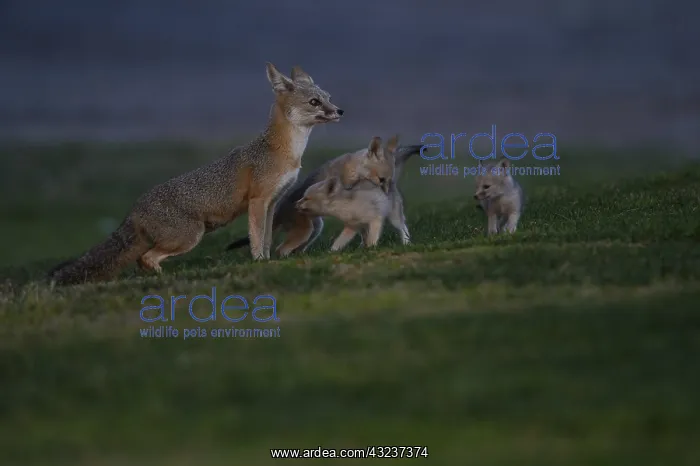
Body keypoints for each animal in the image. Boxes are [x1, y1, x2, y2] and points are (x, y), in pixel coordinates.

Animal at [47, 62, 343, 286]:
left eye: (328, 97)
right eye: (315, 102)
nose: (340, 110)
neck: (282, 150)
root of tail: (135, 208)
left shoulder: (271, 203)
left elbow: (267, 237)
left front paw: (267, 260)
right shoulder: (258, 201)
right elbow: (257, 237)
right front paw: (259, 261)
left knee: (141, 261)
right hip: (191, 236)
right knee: (146, 258)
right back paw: (163, 278)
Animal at [226, 135, 420, 256]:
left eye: (388, 180)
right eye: (381, 179)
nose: (388, 193)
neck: (353, 166)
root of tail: (278, 212)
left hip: (314, 230)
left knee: (294, 249)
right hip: (306, 231)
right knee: (282, 249)